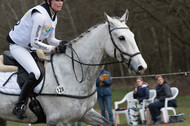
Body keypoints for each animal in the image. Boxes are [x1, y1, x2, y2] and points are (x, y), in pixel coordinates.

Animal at [0, 10, 147, 126]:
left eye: (132, 36)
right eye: (121, 38)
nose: (142, 67)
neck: (73, 71)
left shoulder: (86, 113)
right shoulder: (60, 121)